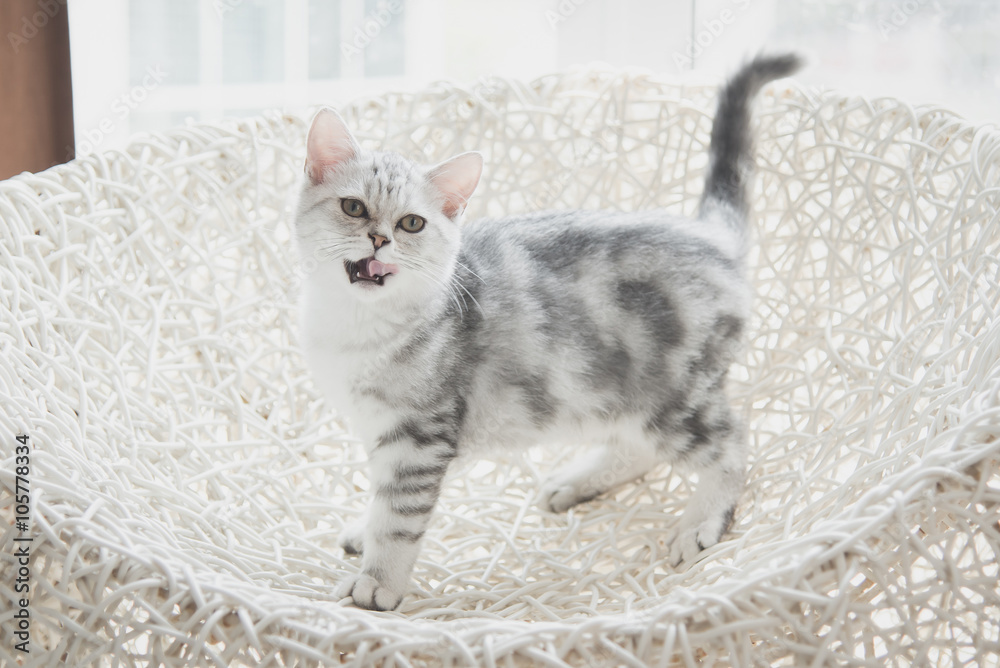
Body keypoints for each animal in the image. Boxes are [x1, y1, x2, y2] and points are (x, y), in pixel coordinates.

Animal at [296, 54, 804, 608]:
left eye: (412, 223)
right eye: (353, 207)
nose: (379, 238)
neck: (354, 328)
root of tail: (710, 235)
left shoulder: (419, 435)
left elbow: (398, 515)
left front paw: (377, 582)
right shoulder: (390, 431)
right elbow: (380, 500)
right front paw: (363, 532)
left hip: (672, 395)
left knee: (730, 443)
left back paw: (702, 519)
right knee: (643, 445)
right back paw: (579, 481)